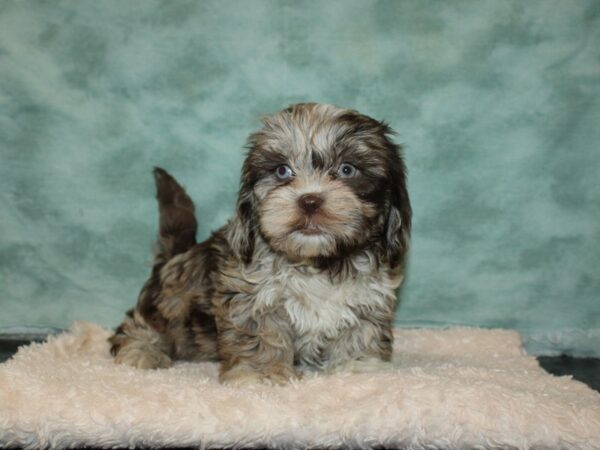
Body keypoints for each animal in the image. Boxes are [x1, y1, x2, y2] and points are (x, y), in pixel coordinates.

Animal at [108, 103, 410, 384]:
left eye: (347, 169)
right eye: (282, 171)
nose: (310, 200)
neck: (316, 262)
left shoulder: (368, 298)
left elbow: (361, 333)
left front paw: (358, 368)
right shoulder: (251, 297)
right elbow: (262, 336)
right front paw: (262, 374)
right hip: (170, 307)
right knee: (139, 325)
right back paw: (142, 350)